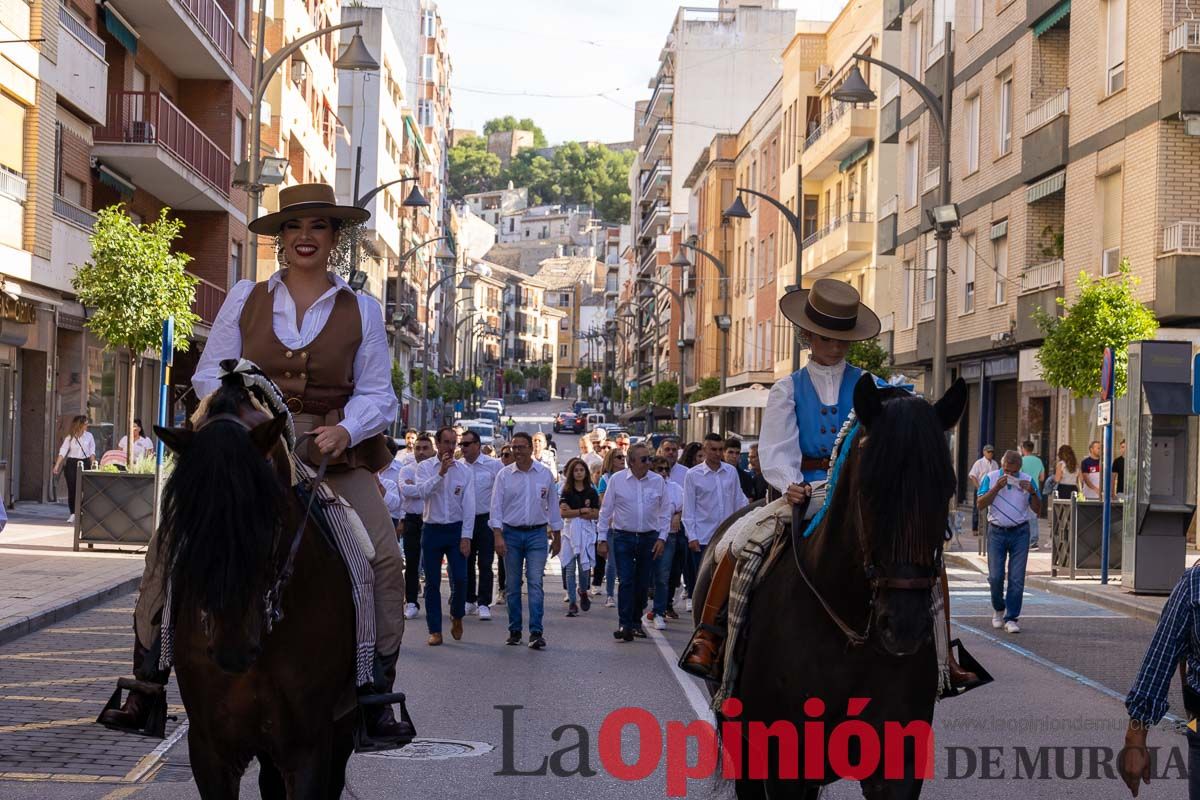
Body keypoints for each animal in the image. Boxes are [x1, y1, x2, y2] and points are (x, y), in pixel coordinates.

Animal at [696, 376, 964, 800]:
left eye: (947, 486)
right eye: (869, 487)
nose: (904, 626)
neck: (852, 632)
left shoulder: (898, 767)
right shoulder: (786, 763)